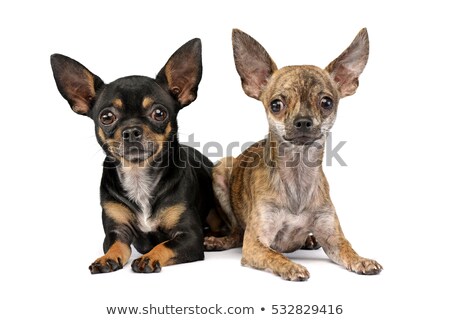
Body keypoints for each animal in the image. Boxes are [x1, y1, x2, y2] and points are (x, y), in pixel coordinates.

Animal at [51, 37, 220, 272]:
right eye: (106, 117)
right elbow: (116, 246)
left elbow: (165, 245)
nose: (131, 131)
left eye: (159, 113)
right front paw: (106, 258)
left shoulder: (189, 236)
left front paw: (150, 257)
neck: (138, 176)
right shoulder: (116, 232)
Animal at [205, 29, 384, 280]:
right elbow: (273, 255)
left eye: (326, 102)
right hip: (221, 170)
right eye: (276, 105)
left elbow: (348, 248)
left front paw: (361, 259)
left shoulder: (333, 237)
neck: (297, 173)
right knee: (235, 233)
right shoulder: (255, 243)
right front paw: (291, 266)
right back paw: (217, 241)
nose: (303, 121)